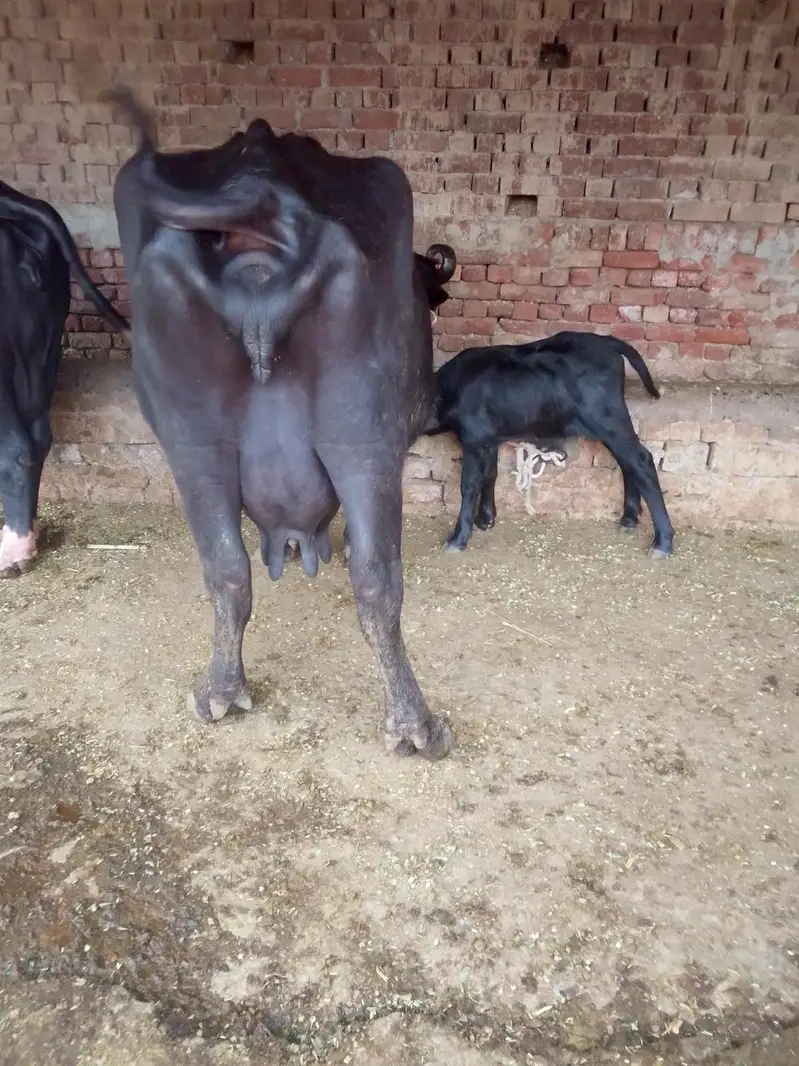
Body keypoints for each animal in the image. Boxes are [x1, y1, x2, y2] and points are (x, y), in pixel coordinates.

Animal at [106, 87, 455, 760]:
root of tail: (263, 194)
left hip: (195, 444)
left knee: (227, 570)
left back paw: (220, 693)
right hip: (363, 437)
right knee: (376, 577)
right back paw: (416, 727)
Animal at [425, 331, 675, 559]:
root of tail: (605, 340)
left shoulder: (474, 438)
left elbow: (469, 484)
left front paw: (458, 537)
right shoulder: (489, 440)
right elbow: (490, 474)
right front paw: (485, 519)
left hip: (607, 420)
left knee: (640, 460)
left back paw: (662, 542)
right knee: (628, 463)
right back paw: (629, 519)